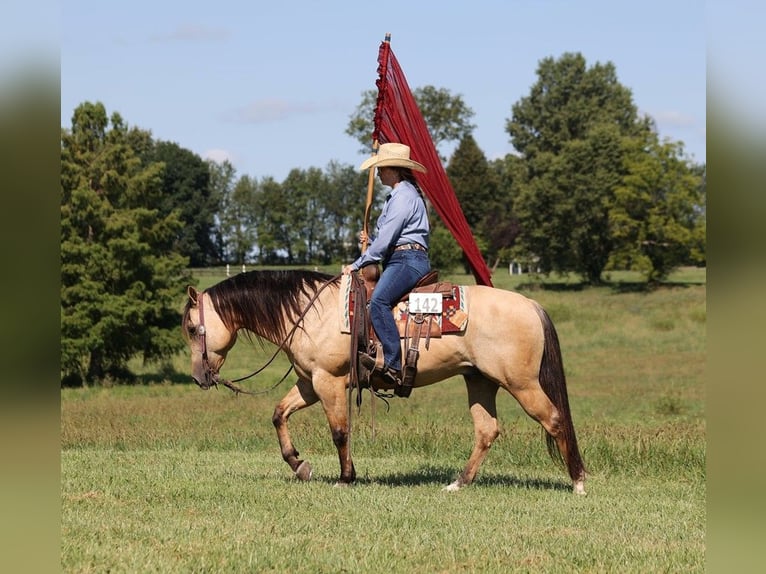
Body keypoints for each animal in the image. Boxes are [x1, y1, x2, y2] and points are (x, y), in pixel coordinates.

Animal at [181, 269, 587, 494]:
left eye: (191, 328)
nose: (199, 377)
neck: (312, 313)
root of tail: (531, 305)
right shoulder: (310, 383)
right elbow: (279, 414)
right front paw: (299, 465)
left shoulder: (329, 381)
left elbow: (339, 432)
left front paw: (346, 477)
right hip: (480, 381)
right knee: (487, 430)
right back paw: (459, 483)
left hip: (521, 384)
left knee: (555, 420)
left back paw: (578, 482)